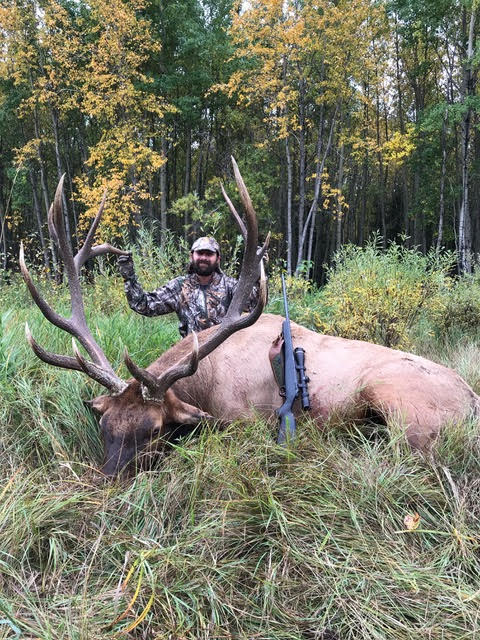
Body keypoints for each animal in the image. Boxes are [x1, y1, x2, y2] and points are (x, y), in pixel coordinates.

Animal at [21, 160, 480, 475]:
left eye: (152, 430)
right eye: (105, 428)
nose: (108, 482)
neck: (205, 384)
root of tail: (472, 400)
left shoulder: (241, 421)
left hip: (402, 409)